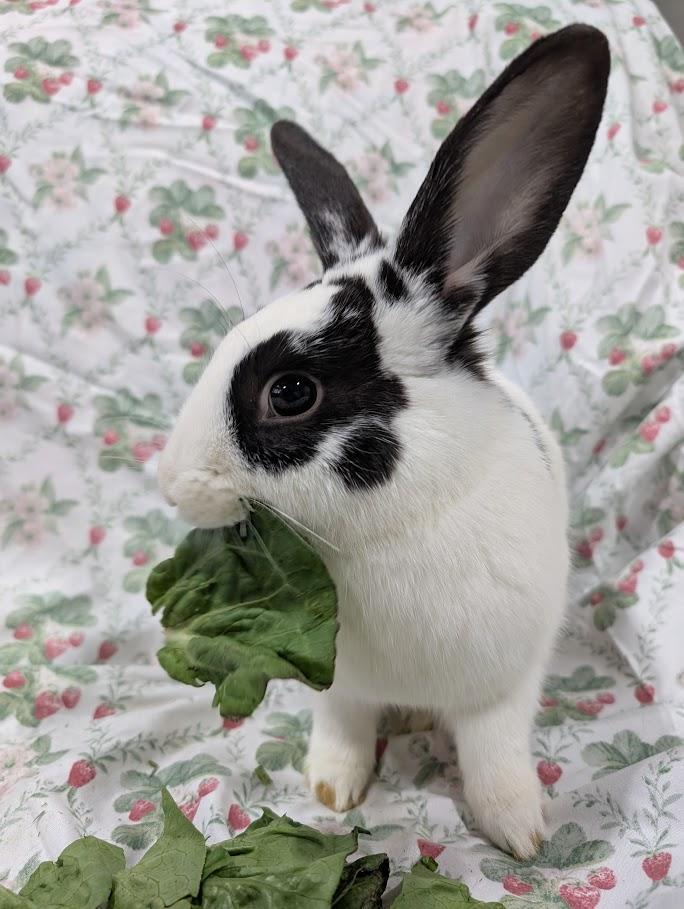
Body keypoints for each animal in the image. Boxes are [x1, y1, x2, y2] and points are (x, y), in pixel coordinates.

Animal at [157, 24, 609, 859]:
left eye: (290, 392)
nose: (173, 484)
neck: (385, 534)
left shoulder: (503, 685)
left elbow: (495, 753)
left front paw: (520, 833)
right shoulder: (344, 686)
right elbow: (341, 729)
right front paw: (332, 790)